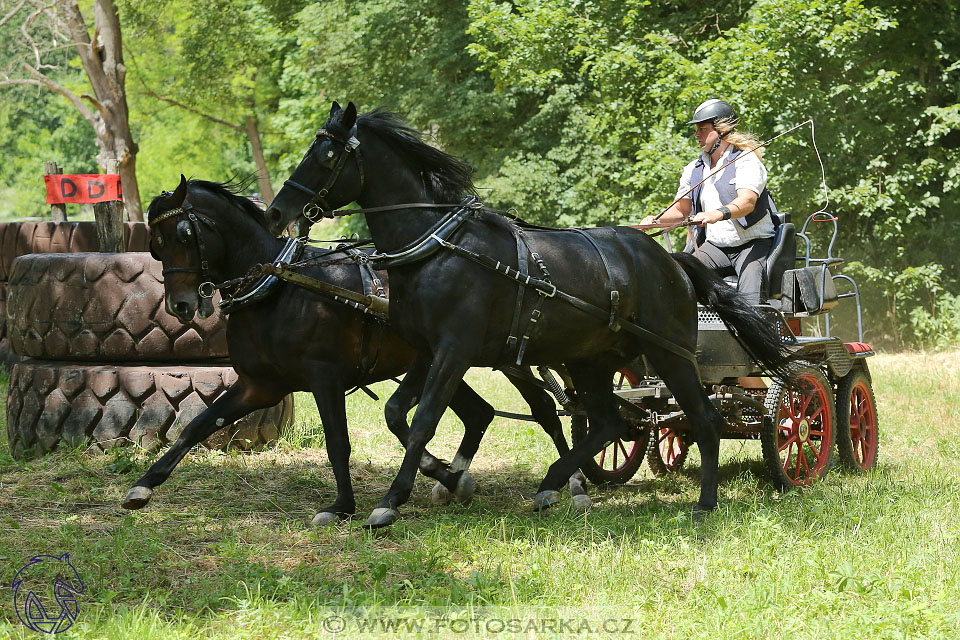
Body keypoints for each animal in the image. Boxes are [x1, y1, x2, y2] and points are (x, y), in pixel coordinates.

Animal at [124, 176, 588, 524]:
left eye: (185, 233)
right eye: (156, 244)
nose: (180, 305)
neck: (280, 289)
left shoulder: (325, 377)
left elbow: (338, 442)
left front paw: (341, 505)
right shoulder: (259, 385)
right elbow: (197, 426)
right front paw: (144, 485)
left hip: (512, 360)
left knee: (551, 412)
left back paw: (576, 484)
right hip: (447, 362)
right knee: (481, 414)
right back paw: (454, 479)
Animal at [266, 102, 792, 528]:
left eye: (326, 155)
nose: (275, 213)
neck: (438, 247)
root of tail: (671, 261)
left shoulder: (454, 352)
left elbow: (424, 420)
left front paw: (391, 501)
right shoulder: (425, 350)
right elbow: (398, 414)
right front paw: (444, 477)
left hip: (670, 354)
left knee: (703, 417)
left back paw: (704, 503)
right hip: (592, 360)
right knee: (609, 423)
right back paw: (553, 484)